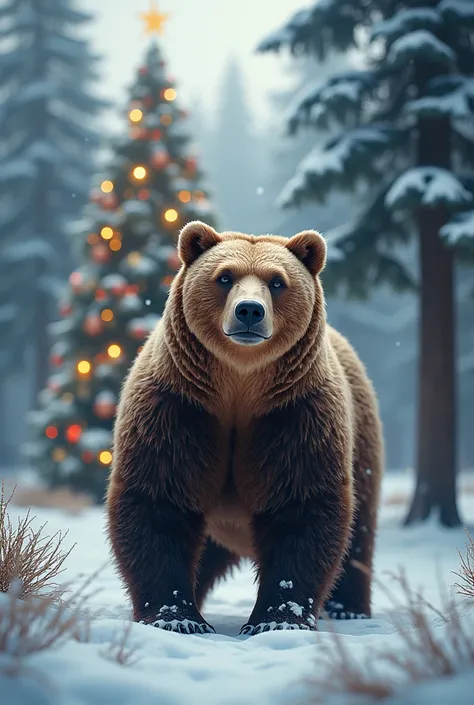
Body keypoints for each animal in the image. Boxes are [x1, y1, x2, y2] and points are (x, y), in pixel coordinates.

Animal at [105, 223, 384, 636]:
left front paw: (278, 619)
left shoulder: (294, 415)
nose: (249, 310)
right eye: (225, 276)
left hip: (361, 440)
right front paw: (177, 617)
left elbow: (300, 506)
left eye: (277, 281)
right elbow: (159, 499)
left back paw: (349, 609)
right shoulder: (180, 409)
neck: (239, 385)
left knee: (358, 535)